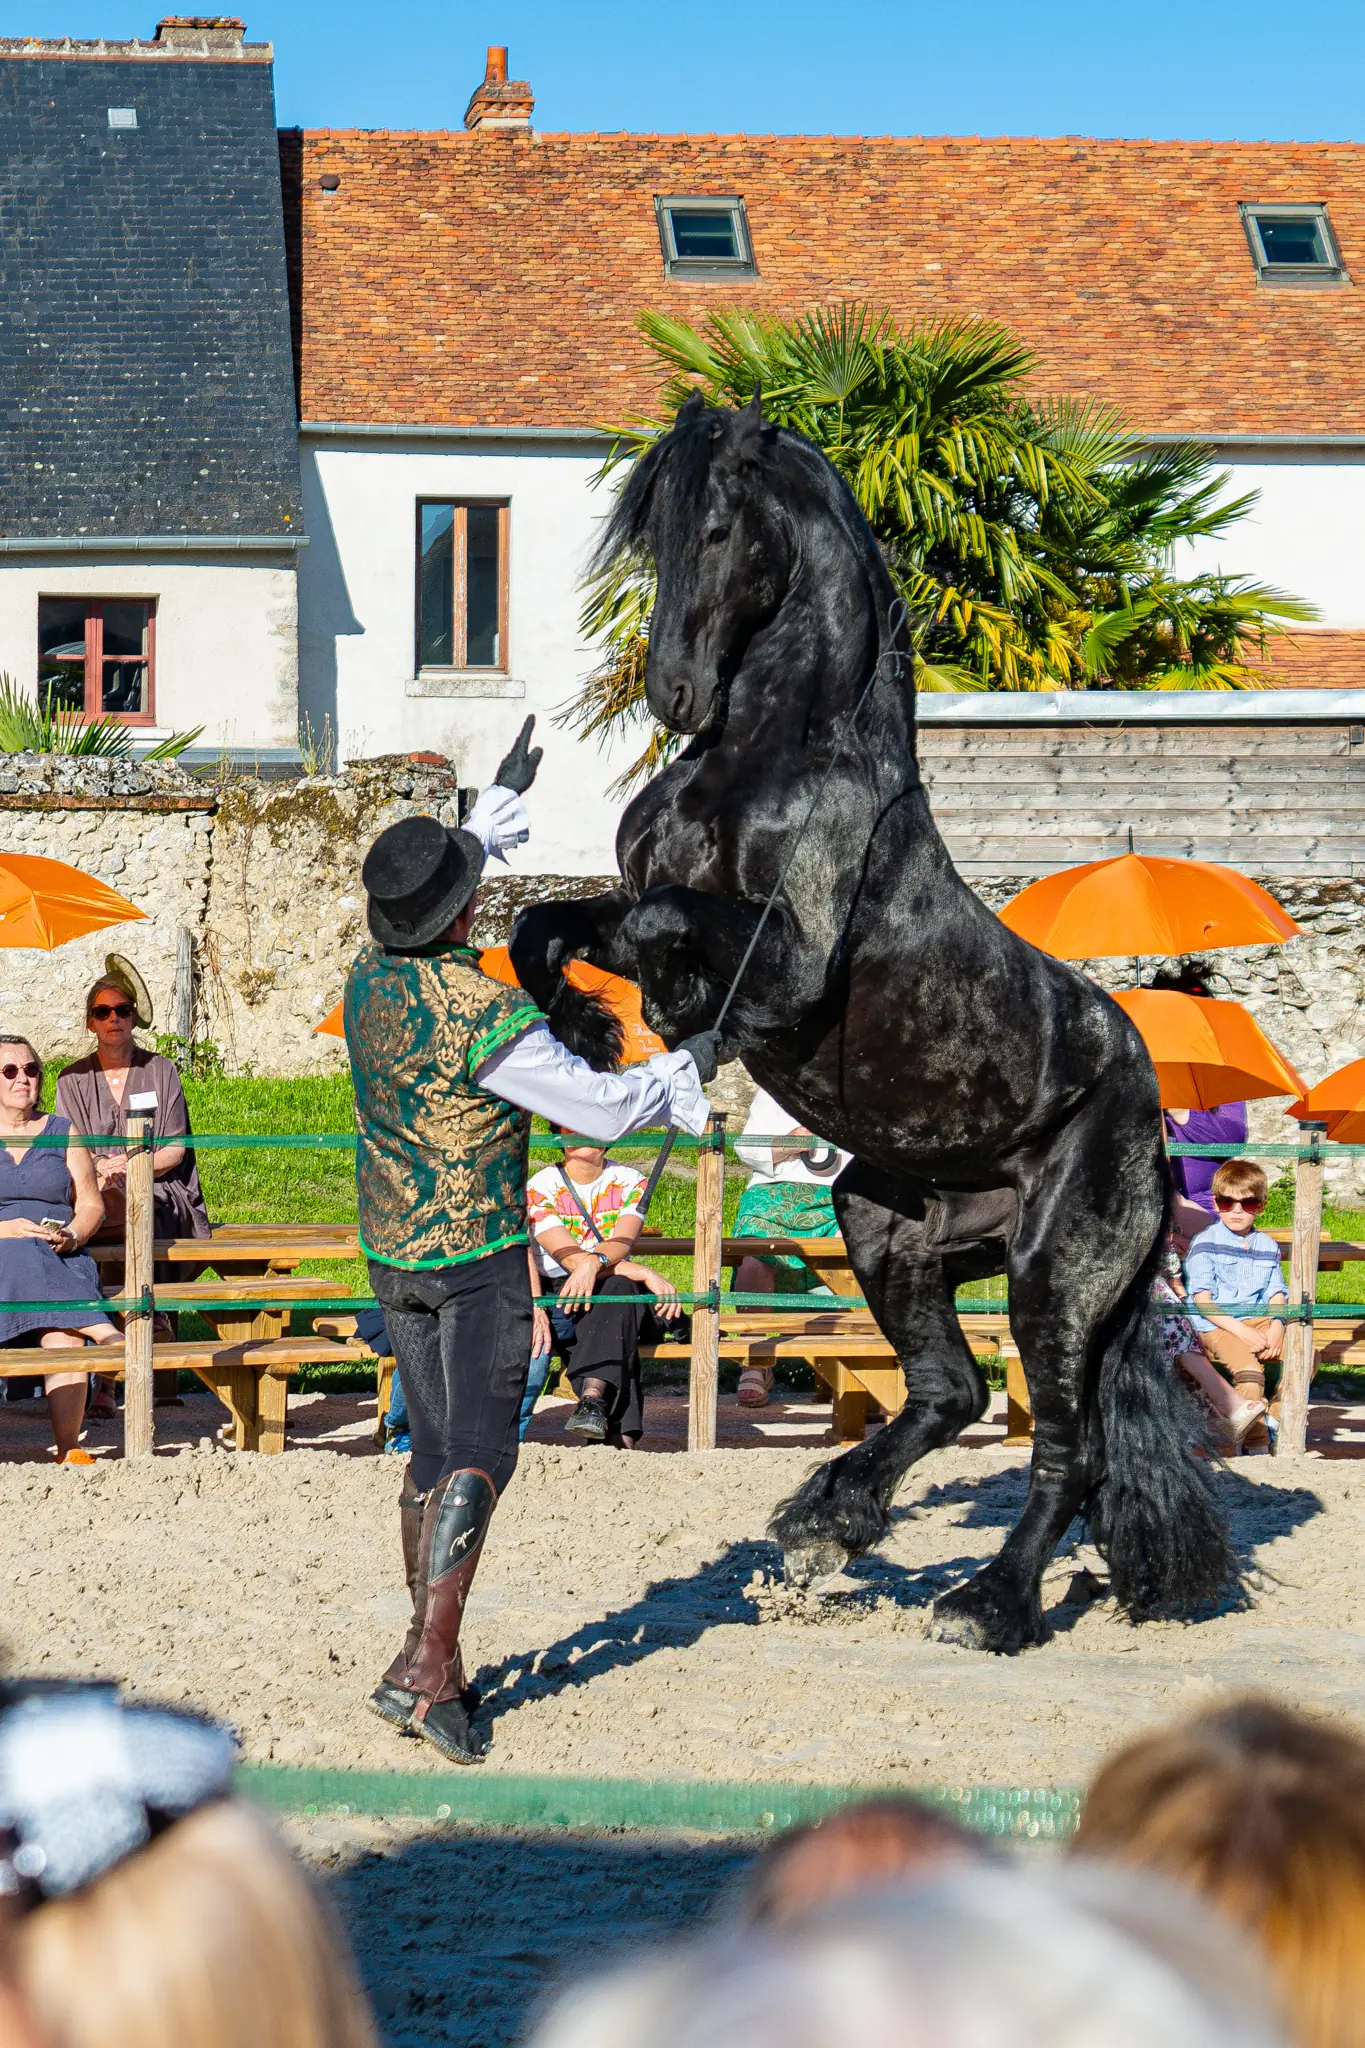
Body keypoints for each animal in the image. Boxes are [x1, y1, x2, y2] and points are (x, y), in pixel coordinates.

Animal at [511, 391, 1232, 1652]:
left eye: (717, 529)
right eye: (653, 534)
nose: (674, 697)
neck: (778, 763)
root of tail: (1151, 1114)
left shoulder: (787, 965)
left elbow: (660, 921)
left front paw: (664, 1020)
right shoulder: (635, 906)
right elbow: (548, 925)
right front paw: (592, 1036)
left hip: (1054, 1273)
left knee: (1066, 1450)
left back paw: (987, 1602)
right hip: (886, 1221)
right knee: (954, 1390)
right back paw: (825, 1520)